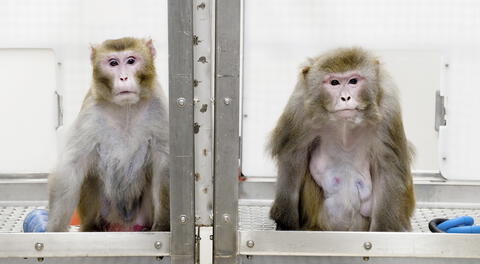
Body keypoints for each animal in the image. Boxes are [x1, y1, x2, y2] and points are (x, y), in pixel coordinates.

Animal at [47, 37, 170, 231]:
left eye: (131, 61)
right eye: (113, 63)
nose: (123, 77)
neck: (125, 108)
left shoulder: (158, 106)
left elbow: (163, 166)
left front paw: (163, 226)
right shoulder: (90, 110)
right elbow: (71, 168)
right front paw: (53, 229)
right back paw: (92, 227)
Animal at [268, 47, 414, 231]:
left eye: (353, 81)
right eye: (335, 83)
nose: (345, 98)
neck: (345, 125)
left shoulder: (388, 111)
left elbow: (388, 169)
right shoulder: (299, 110)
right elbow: (293, 159)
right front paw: (286, 223)